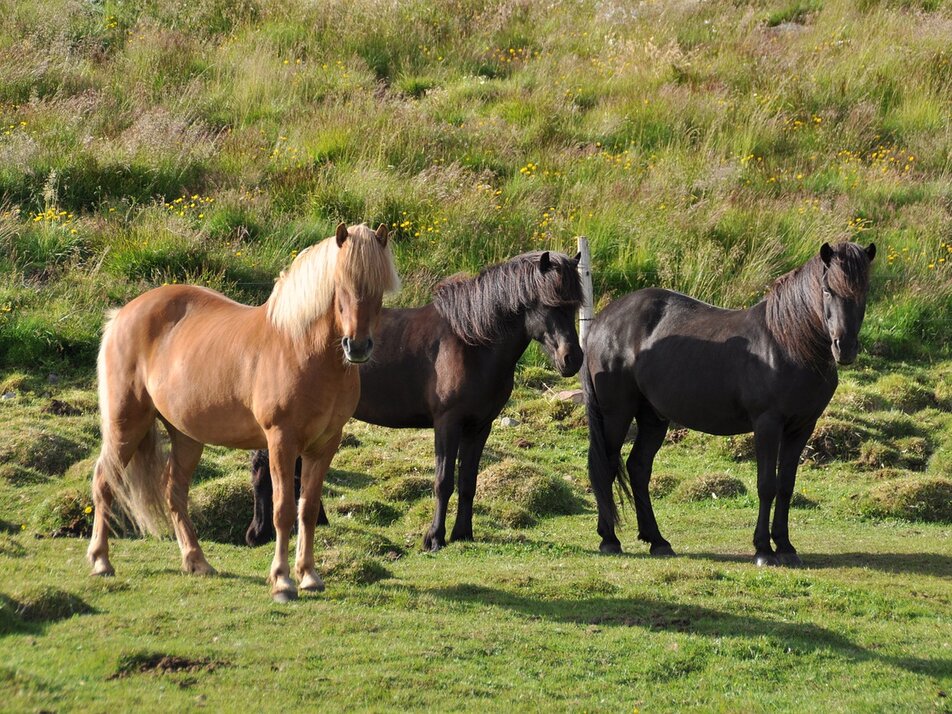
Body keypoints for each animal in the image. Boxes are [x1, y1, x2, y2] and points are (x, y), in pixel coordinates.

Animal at [86, 223, 400, 601]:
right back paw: (101, 561)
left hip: (186, 436)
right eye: (341, 284)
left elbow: (308, 509)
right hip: (126, 424)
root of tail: (123, 314)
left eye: (379, 288)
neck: (300, 348)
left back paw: (197, 562)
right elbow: (282, 510)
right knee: (104, 481)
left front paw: (309, 575)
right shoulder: (281, 441)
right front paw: (282, 581)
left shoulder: (325, 444)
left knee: (173, 490)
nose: (357, 346)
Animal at [245, 250, 585, 551]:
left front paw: (463, 533)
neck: (471, 343)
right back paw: (260, 531)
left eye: (575, 305)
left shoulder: (479, 427)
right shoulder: (447, 423)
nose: (572, 359)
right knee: (267, 466)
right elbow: (444, 481)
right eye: (550, 304)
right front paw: (434, 538)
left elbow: (469, 482)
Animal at [583, 241, 875, 566]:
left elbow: (786, 486)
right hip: (616, 414)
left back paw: (658, 541)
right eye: (827, 290)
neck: (787, 343)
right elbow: (767, 485)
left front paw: (785, 546)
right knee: (606, 465)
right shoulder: (767, 425)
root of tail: (603, 321)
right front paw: (763, 550)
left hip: (653, 417)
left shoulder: (802, 427)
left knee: (638, 468)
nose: (844, 347)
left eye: (864, 290)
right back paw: (609, 539)